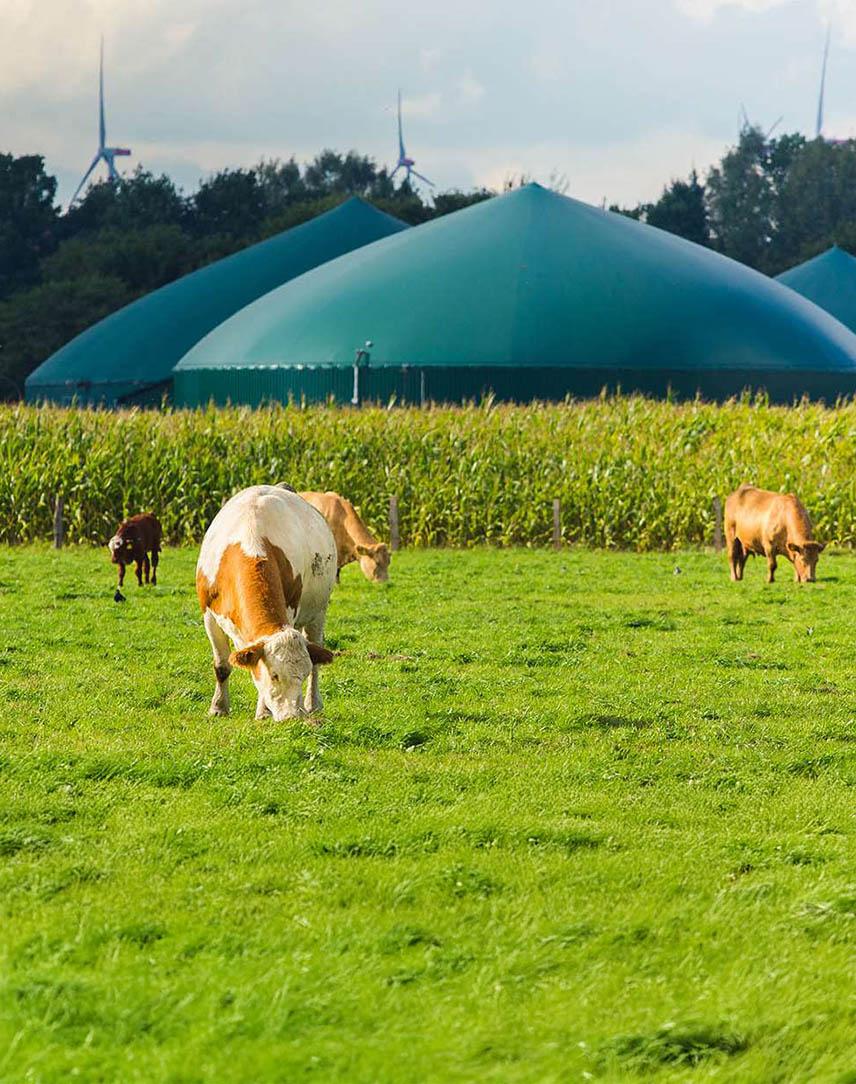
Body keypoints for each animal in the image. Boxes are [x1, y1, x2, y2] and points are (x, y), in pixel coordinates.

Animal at [196, 485, 337, 721]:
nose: (292, 716)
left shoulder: (290, 612)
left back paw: (312, 703)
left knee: (317, 655)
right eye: (275, 675)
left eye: (302, 675)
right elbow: (222, 666)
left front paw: (263, 713)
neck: (251, 544)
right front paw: (218, 707)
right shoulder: (209, 616)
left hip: (318, 612)